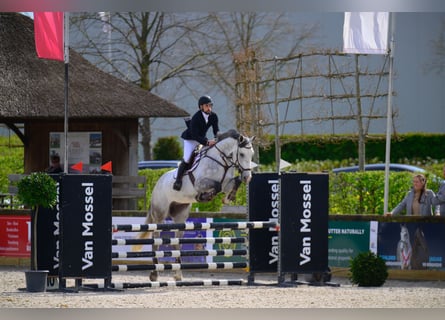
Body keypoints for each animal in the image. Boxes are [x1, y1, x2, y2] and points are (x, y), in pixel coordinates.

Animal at [134, 128, 255, 280]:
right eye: (242, 154)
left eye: (252, 155)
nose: (247, 177)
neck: (222, 161)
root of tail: (156, 185)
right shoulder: (200, 183)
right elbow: (216, 186)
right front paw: (204, 196)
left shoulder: (227, 184)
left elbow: (233, 182)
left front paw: (228, 198)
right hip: (160, 215)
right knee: (155, 238)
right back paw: (154, 274)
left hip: (180, 215)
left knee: (176, 242)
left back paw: (178, 275)